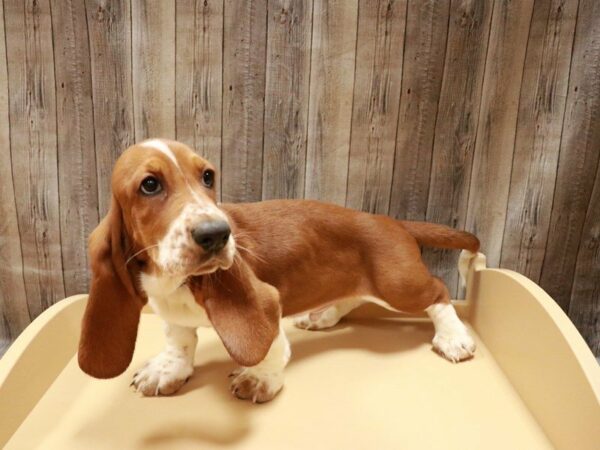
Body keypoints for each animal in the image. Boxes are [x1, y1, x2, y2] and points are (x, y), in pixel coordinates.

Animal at [79, 139, 480, 402]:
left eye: (208, 176)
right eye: (149, 185)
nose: (217, 234)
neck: (178, 281)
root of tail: (392, 222)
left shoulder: (268, 305)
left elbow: (271, 347)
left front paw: (259, 379)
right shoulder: (171, 314)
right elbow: (179, 341)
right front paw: (168, 370)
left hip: (398, 284)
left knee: (438, 291)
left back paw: (453, 337)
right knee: (353, 297)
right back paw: (322, 318)